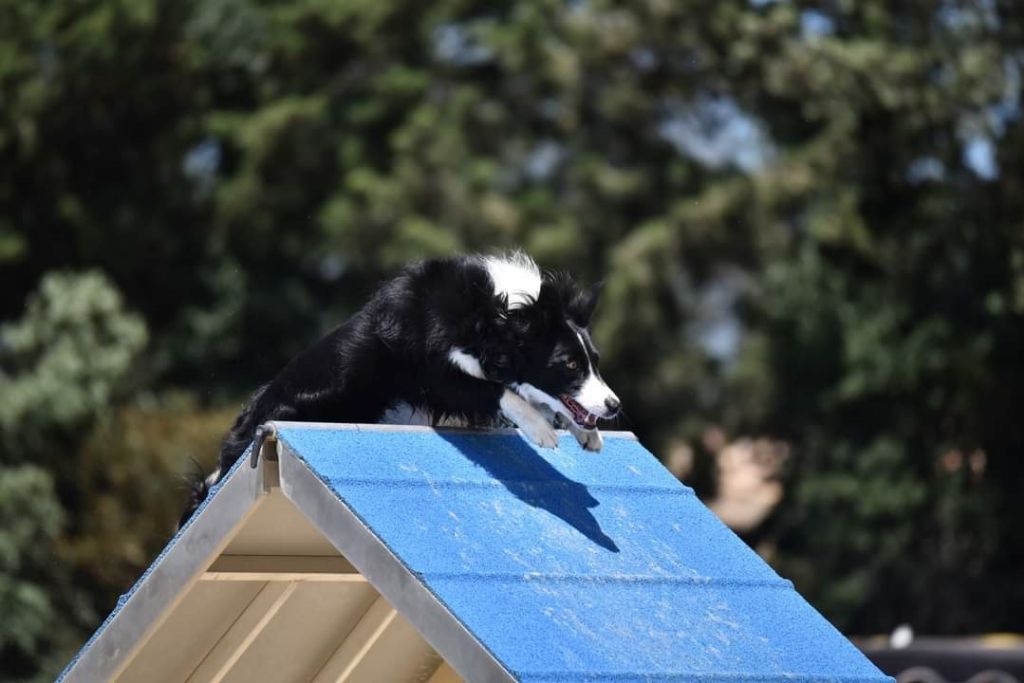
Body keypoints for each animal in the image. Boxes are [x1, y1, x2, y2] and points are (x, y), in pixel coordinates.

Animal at [180, 252, 618, 524]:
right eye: (570, 364)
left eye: (595, 362)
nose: (614, 406)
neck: (498, 315)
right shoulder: (434, 374)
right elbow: (500, 391)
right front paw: (541, 430)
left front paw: (588, 433)